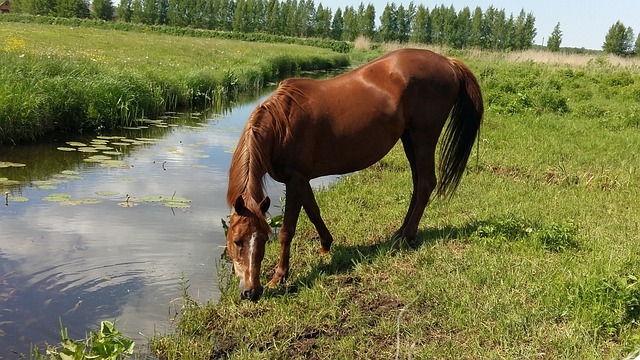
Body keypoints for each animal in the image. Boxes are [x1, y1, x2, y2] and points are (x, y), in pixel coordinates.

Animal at [228, 47, 482, 300]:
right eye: (237, 241)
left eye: (263, 238)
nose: (251, 292)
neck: (281, 124)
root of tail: (448, 61)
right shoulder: (302, 180)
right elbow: (314, 211)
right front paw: (326, 245)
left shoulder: (295, 179)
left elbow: (288, 230)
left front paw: (279, 276)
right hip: (409, 138)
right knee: (418, 182)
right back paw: (400, 232)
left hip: (424, 137)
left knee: (426, 183)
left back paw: (407, 237)